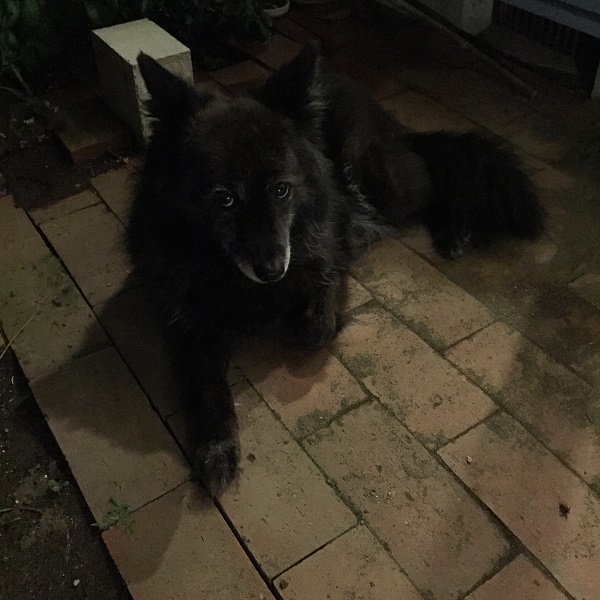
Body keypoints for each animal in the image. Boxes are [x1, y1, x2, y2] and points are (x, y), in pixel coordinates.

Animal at [128, 45, 544, 498]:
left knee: (431, 182)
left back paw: (453, 231)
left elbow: (318, 321)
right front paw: (216, 450)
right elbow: (207, 389)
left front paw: (305, 318)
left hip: (381, 180)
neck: (229, 270)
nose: (272, 270)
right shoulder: (185, 321)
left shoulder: (328, 250)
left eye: (281, 189)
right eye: (223, 198)